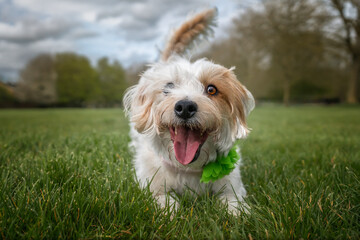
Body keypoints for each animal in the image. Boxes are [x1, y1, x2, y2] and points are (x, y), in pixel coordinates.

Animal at [125, 8, 255, 213]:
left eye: (212, 89)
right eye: (168, 87)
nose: (185, 107)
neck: (189, 168)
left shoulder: (231, 189)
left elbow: (235, 206)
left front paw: (237, 215)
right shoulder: (153, 188)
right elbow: (165, 203)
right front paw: (172, 213)